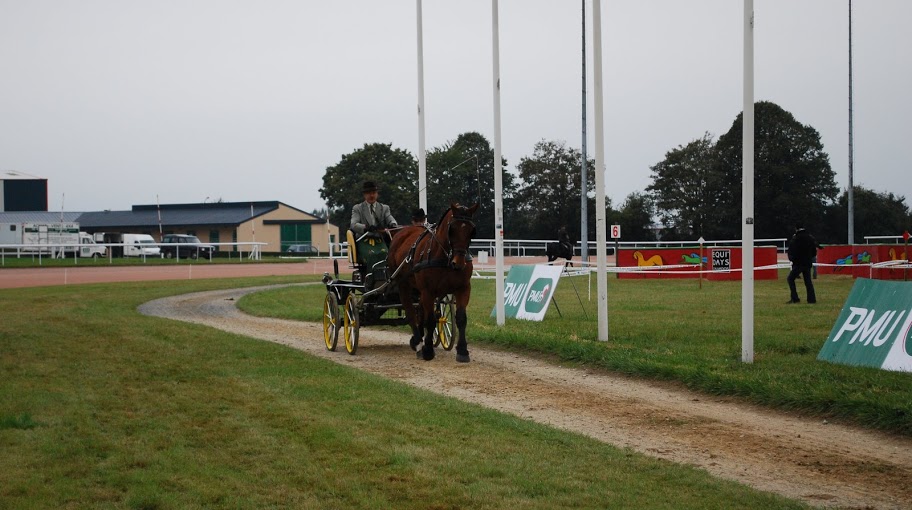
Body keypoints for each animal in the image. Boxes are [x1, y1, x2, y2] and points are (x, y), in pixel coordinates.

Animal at [388, 202, 480, 362]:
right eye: (452, 229)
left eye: (471, 231)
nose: (459, 263)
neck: (446, 258)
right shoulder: (428, 291)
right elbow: (430, 320)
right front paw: (428, 350)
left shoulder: (463, 288)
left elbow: (461, 318)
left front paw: (462, 351)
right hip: (403, 284)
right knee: (411, 312)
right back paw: (418, 343)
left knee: (419, 311)